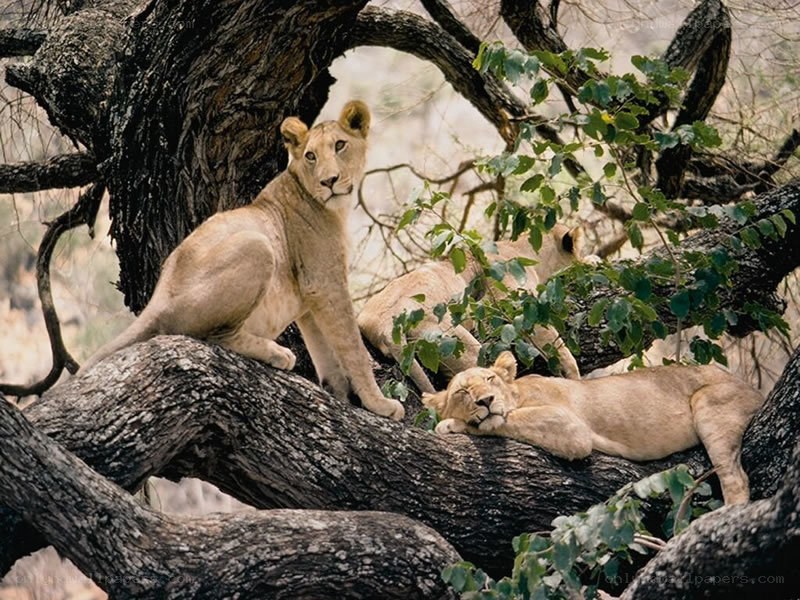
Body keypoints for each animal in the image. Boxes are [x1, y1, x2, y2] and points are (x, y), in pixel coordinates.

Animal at [80, 100, 404, 421]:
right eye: (311, 156)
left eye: (339, 145)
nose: (329, 181)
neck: (330, 206)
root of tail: (157, 298)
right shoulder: (326, 283)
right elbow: (354, 348)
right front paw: (380, 404)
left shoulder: (310, 295)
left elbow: (325, 351)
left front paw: (338, 396)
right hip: (257, 245)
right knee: (214, 335)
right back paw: (278, 354)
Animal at [358, 226, 599, 393]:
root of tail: (385, 327)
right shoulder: (516, 303)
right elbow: (555, 342)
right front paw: (574, 376)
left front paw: (593, 260)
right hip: (455, 342)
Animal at [423, 351, 764, 504]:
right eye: (462, 392)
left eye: (490, 379)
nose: (486, 400)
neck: (518, 394)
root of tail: (756, 391)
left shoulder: (572, 429)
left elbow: (500, 422)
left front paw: (450, 424)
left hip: (710, 406)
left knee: (736, 478)